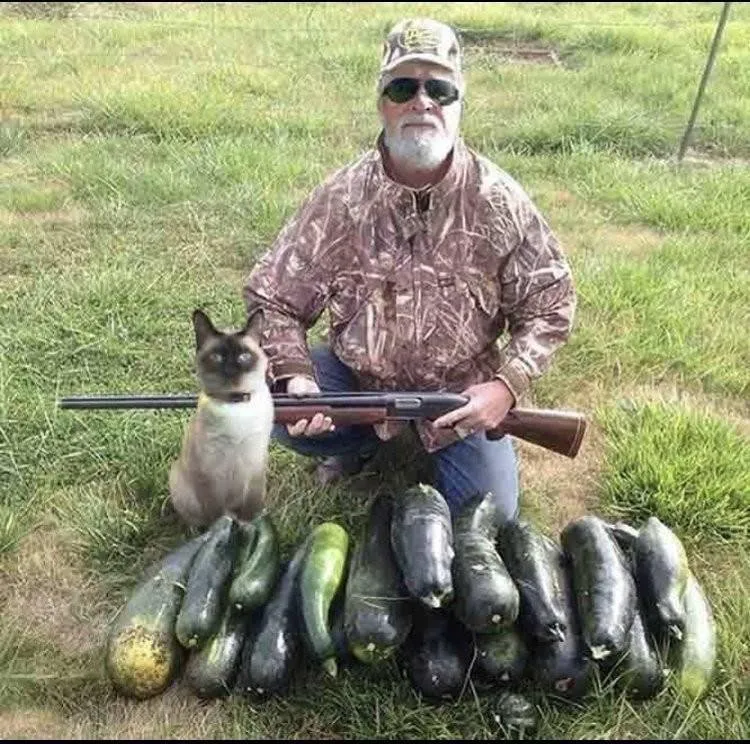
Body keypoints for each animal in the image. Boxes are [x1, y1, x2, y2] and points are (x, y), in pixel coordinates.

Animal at [169, 308, 274, 528]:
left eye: (244, 356)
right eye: (217, 357)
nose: (231, 368)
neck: (235, 404)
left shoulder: (255, 467)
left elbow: (250, 510)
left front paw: (250, 526)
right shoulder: (210, 474)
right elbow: (216, 515)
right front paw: (221, 530)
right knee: (196, 520)